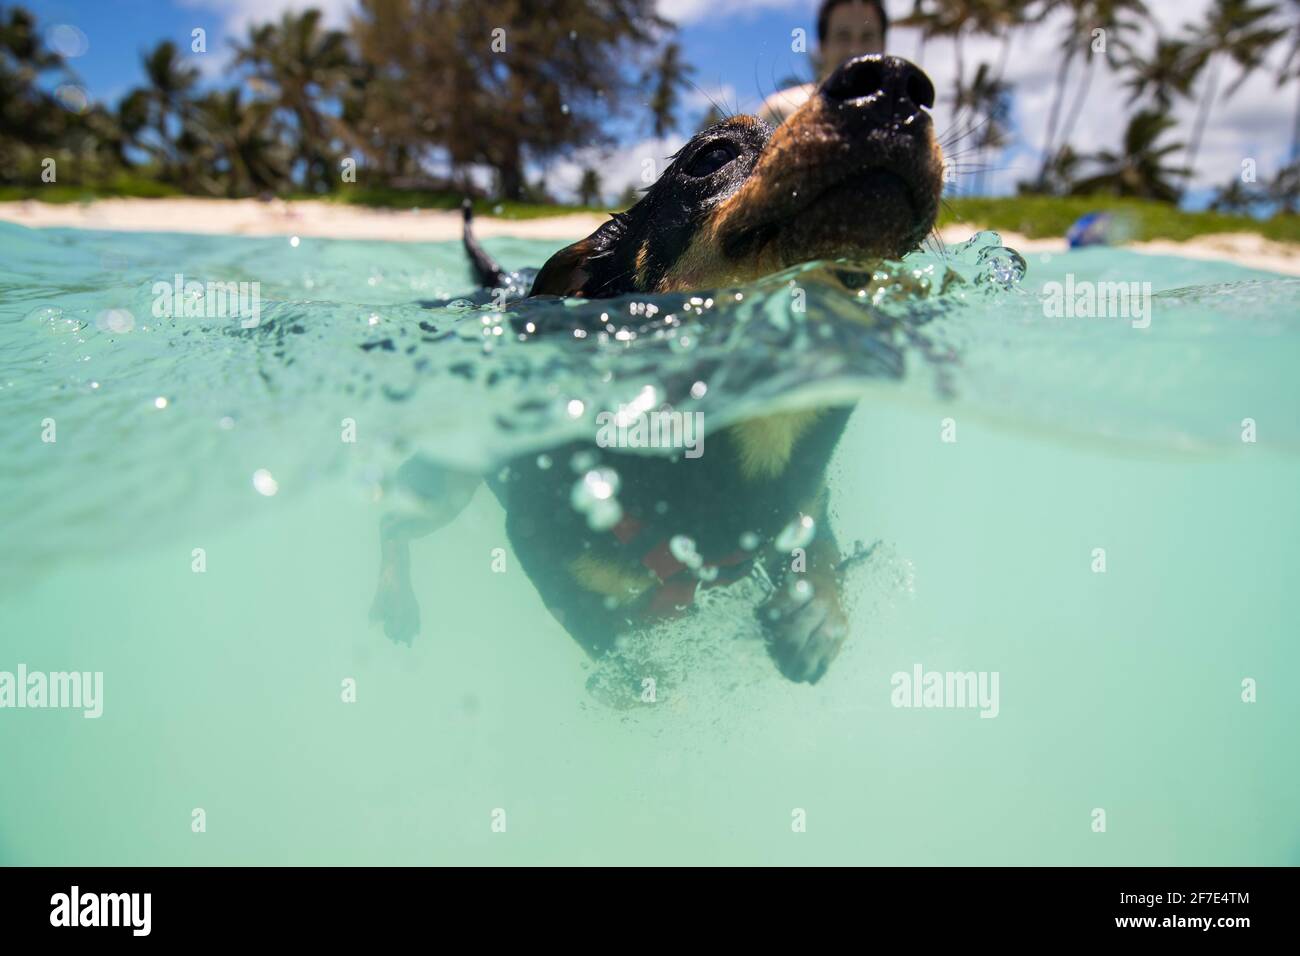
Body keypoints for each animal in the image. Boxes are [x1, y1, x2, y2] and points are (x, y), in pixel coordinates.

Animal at [371, 55, 941, 686]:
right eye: (712, 156)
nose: (893, 82)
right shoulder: (560, 568)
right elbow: (623, 647)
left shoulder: (803, 497)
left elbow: (816, 541)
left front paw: (816, 610)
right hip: (449, 477)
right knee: (392, 516)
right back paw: (393, 601)